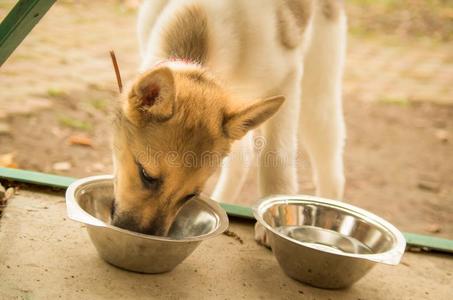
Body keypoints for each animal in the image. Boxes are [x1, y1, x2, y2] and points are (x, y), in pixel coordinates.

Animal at [111, 0, 344, 243]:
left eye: (191, 195)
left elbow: (276, 157)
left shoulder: (287, 78)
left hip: (316, 98)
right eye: (146, 175)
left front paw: (276, 221)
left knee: (332, 168)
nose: (140, 238)